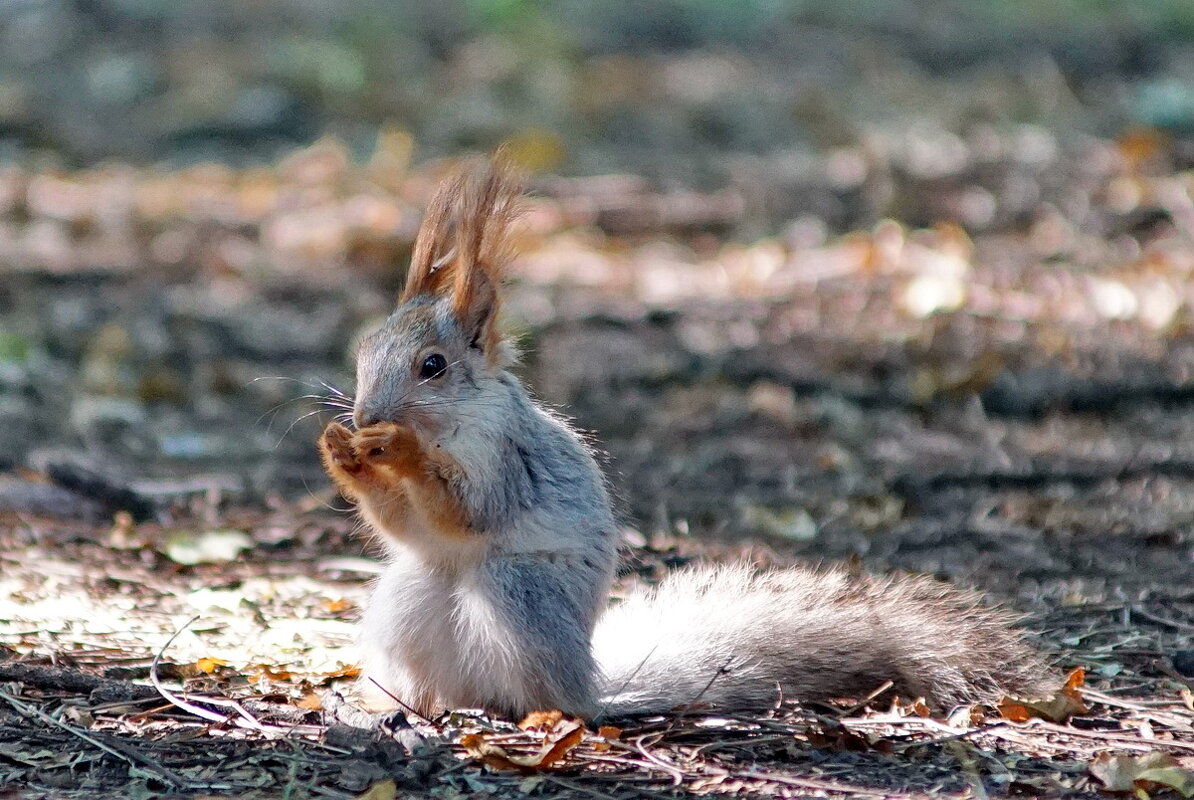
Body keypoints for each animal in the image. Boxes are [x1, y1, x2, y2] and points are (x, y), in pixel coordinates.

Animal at [315, 160, 1045, 725]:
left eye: (433, 366)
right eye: (365, 349)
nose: (367, 412)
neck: (452, 424)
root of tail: (593, 680)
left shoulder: (505, 459)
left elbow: (467, 511)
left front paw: (398, 451)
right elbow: (406, 524)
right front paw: (342, 451)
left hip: (518, 591)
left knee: (547, 695)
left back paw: (540, 712)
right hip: (408, 594)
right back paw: (398, 704)